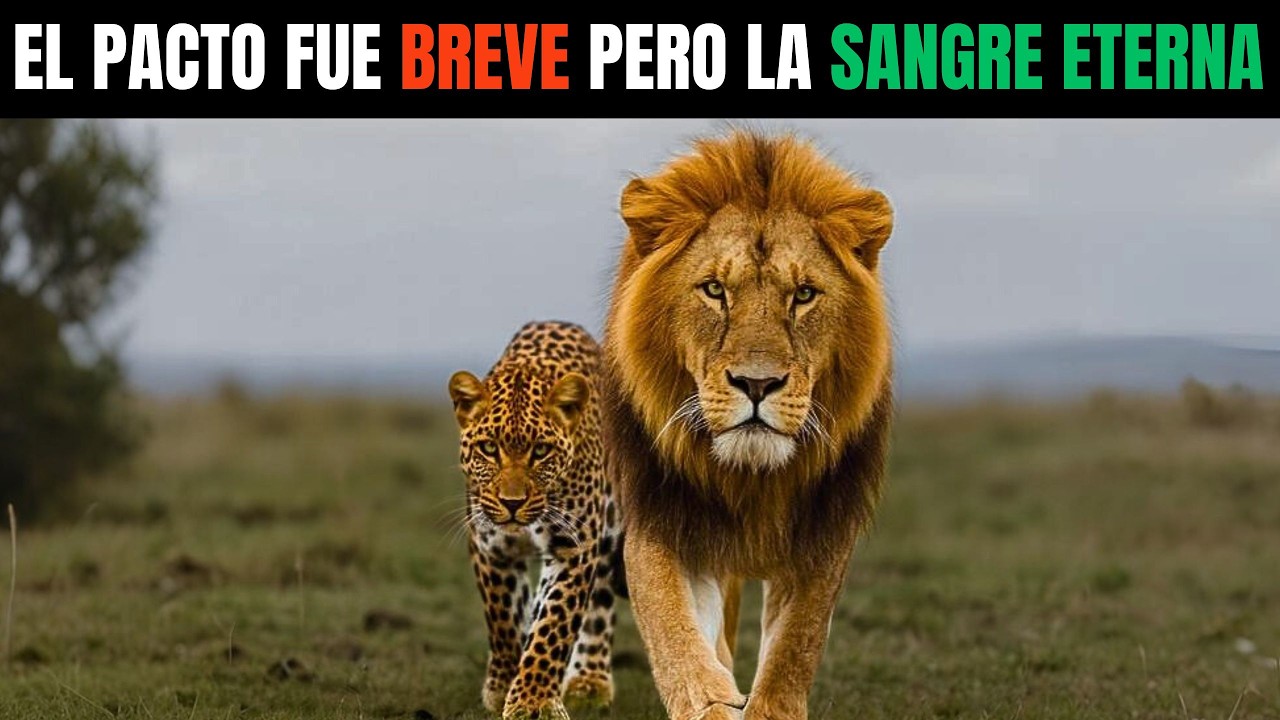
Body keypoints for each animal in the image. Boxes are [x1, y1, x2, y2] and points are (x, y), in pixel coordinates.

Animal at [447, 320, 625, 720]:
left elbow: (554, 624)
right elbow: (503, 616)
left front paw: (534, 702)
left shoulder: (574, 547)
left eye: (541, 451)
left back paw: (589, 682)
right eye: (489, 448)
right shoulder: (490, 546)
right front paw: (503, 686)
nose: (512, 503)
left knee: (599, 603)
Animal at [599, 130, 895, 720]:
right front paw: (712, 699)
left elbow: (794, 647)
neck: (751, 476)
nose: (757, 385)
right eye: (715, 289)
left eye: (803, 294)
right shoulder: (662, 516)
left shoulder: (824, 533)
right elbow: (674, 630)